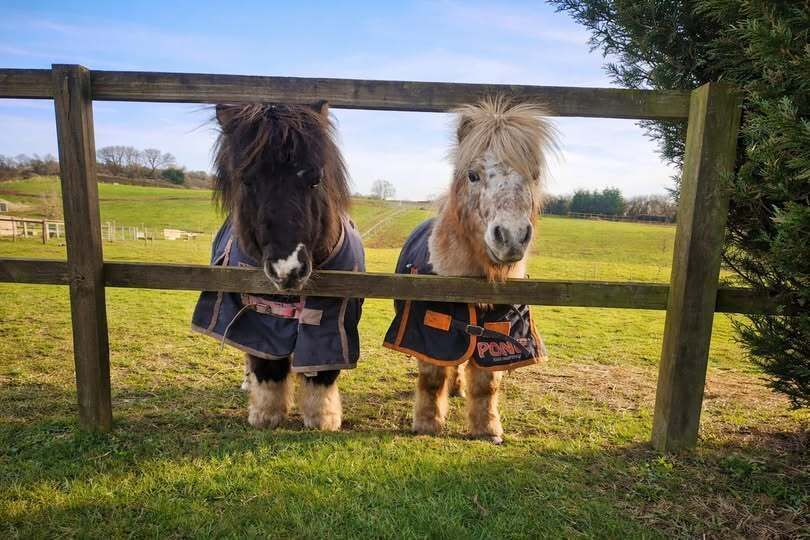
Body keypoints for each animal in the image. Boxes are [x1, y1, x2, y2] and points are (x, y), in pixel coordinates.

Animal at [192, 102, 364, 432]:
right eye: (247, 181)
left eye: (315, 179)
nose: (288, 269)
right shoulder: (261, 315)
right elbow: (267, 364)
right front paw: (266, 414)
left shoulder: (333, 317)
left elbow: (323, 369)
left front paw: (322, 417)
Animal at [384, 96, 558, 443]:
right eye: (473, 175)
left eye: (533, 175)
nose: (512, 236)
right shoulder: (427, 329)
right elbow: (433, 376)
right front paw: (427, 423)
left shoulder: (500, 330)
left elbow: (486, 384)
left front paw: (487, 428)